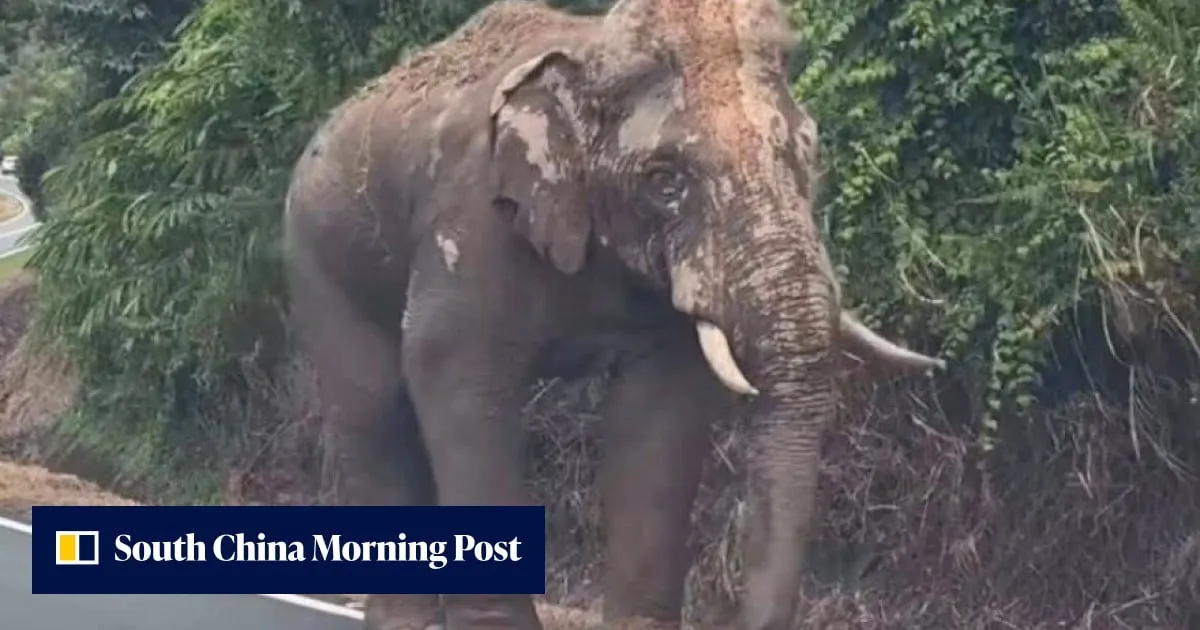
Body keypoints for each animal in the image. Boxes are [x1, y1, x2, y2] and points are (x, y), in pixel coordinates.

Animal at [281, 2, 945, 630]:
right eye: (665, 181)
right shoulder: (470, 222)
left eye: (810, 151)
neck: (590, 54)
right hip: (319, 260)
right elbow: (455, 377)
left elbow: (660, 409)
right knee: (374, 411)